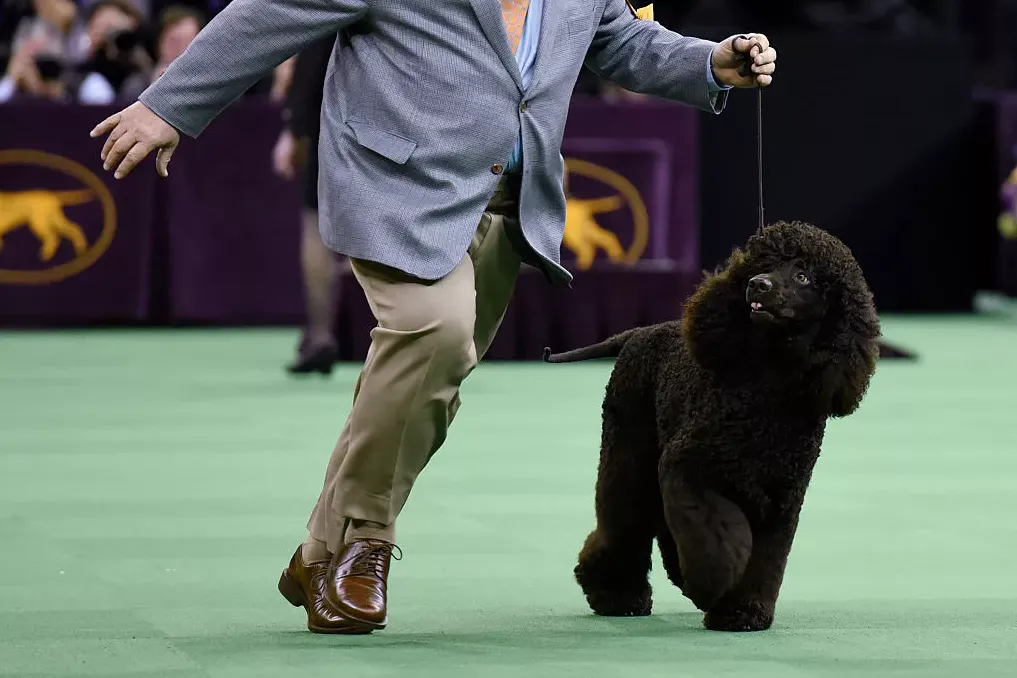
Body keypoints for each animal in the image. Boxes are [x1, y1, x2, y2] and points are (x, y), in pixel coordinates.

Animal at [545, 225, 878, 634]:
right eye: (763, 263)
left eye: (804, 277)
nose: (758, 284)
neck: (768, 385)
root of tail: (638, 332)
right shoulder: (689, 471)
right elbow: (716, 539)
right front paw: (711, 587)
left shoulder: (780, 501)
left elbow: (765, 561)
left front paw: (742, 612)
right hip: (630, 459)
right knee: (623, 525)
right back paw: (617, 595)